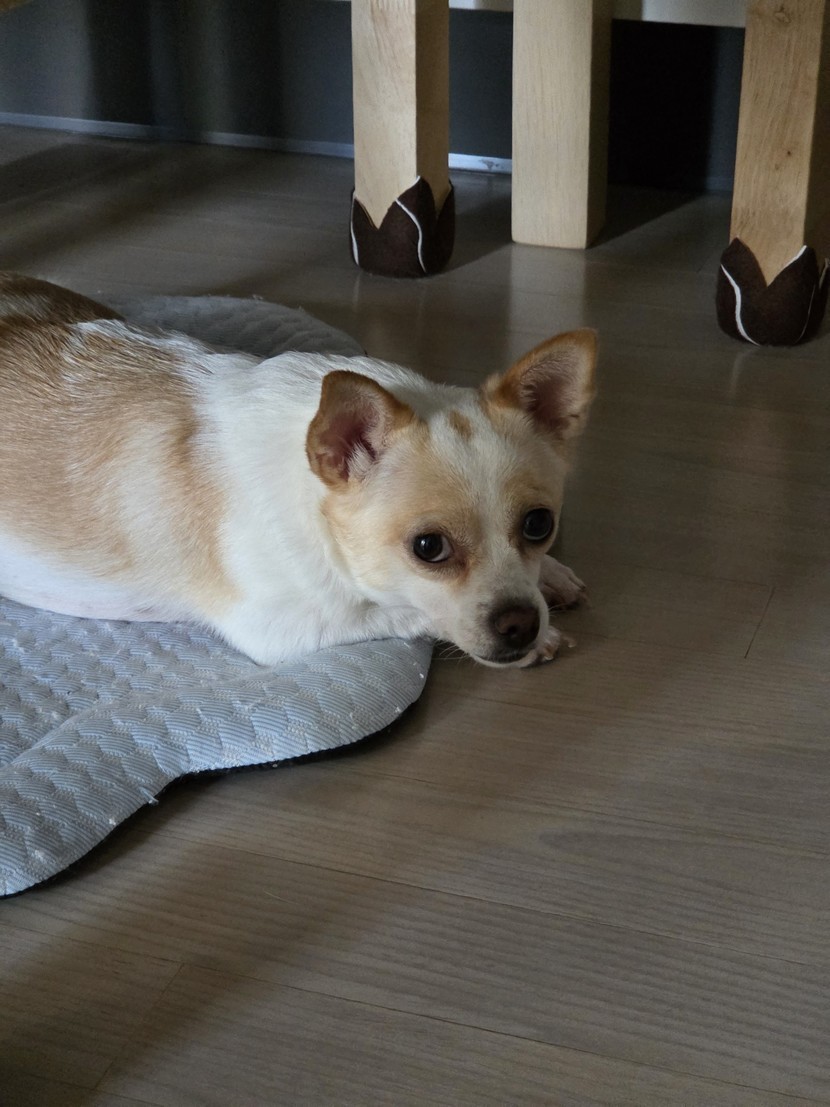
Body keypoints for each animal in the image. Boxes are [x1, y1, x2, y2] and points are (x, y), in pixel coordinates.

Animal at [0, 273, 596, 668]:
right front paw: (544, 634)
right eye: (428, 548)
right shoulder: (281, 629)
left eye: (539, 525)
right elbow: (405, 613)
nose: (521, 624)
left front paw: (550, 575)